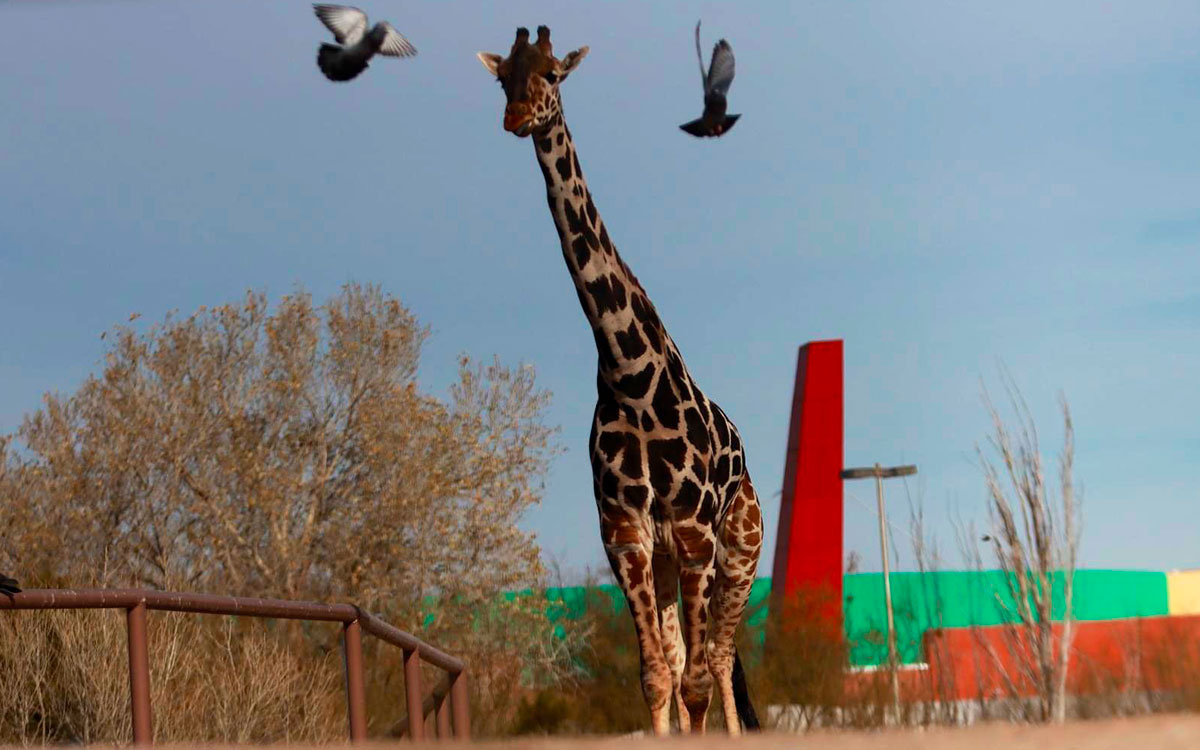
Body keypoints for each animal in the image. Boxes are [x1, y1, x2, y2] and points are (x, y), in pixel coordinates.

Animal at [475, 26, 763, 734]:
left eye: (552, 73)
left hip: (738, 549)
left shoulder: (692, 532)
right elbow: (657, 675)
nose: (516, 117)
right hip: (667, 562)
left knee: (719, 657)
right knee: (689, 657)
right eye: (502, 77)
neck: (630, 375)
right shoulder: (626, 533)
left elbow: (696, 682)